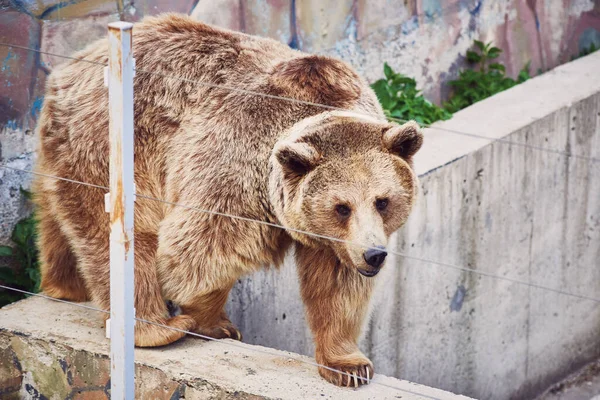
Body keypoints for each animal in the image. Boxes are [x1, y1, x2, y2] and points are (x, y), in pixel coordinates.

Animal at [32, 14, 424, 386]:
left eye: (383, 201)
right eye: (342, 206)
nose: (374, 255)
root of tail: (72, 66)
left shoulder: (335, 240)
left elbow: (337, 287)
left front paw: (349, 366)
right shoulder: (236, 167)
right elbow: (202, 252)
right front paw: (215, 323)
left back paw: (63, 286)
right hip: (109, 142)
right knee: (121, 233)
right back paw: (155, 328)